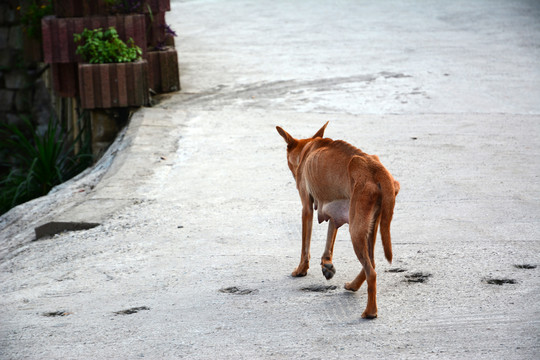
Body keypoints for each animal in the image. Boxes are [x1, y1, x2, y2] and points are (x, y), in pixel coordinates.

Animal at [276, 122, 398, 320]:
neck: (309, 147)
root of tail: (376, 169)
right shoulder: (335, 208)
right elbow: (330, 238)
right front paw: (326, 264)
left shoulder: (306, 208)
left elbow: (305, 246)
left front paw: (301, 269)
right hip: (370, 226)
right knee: (371, 263)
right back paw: (354, 285)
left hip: (356, 230)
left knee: (371, 272)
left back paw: (370, 311)